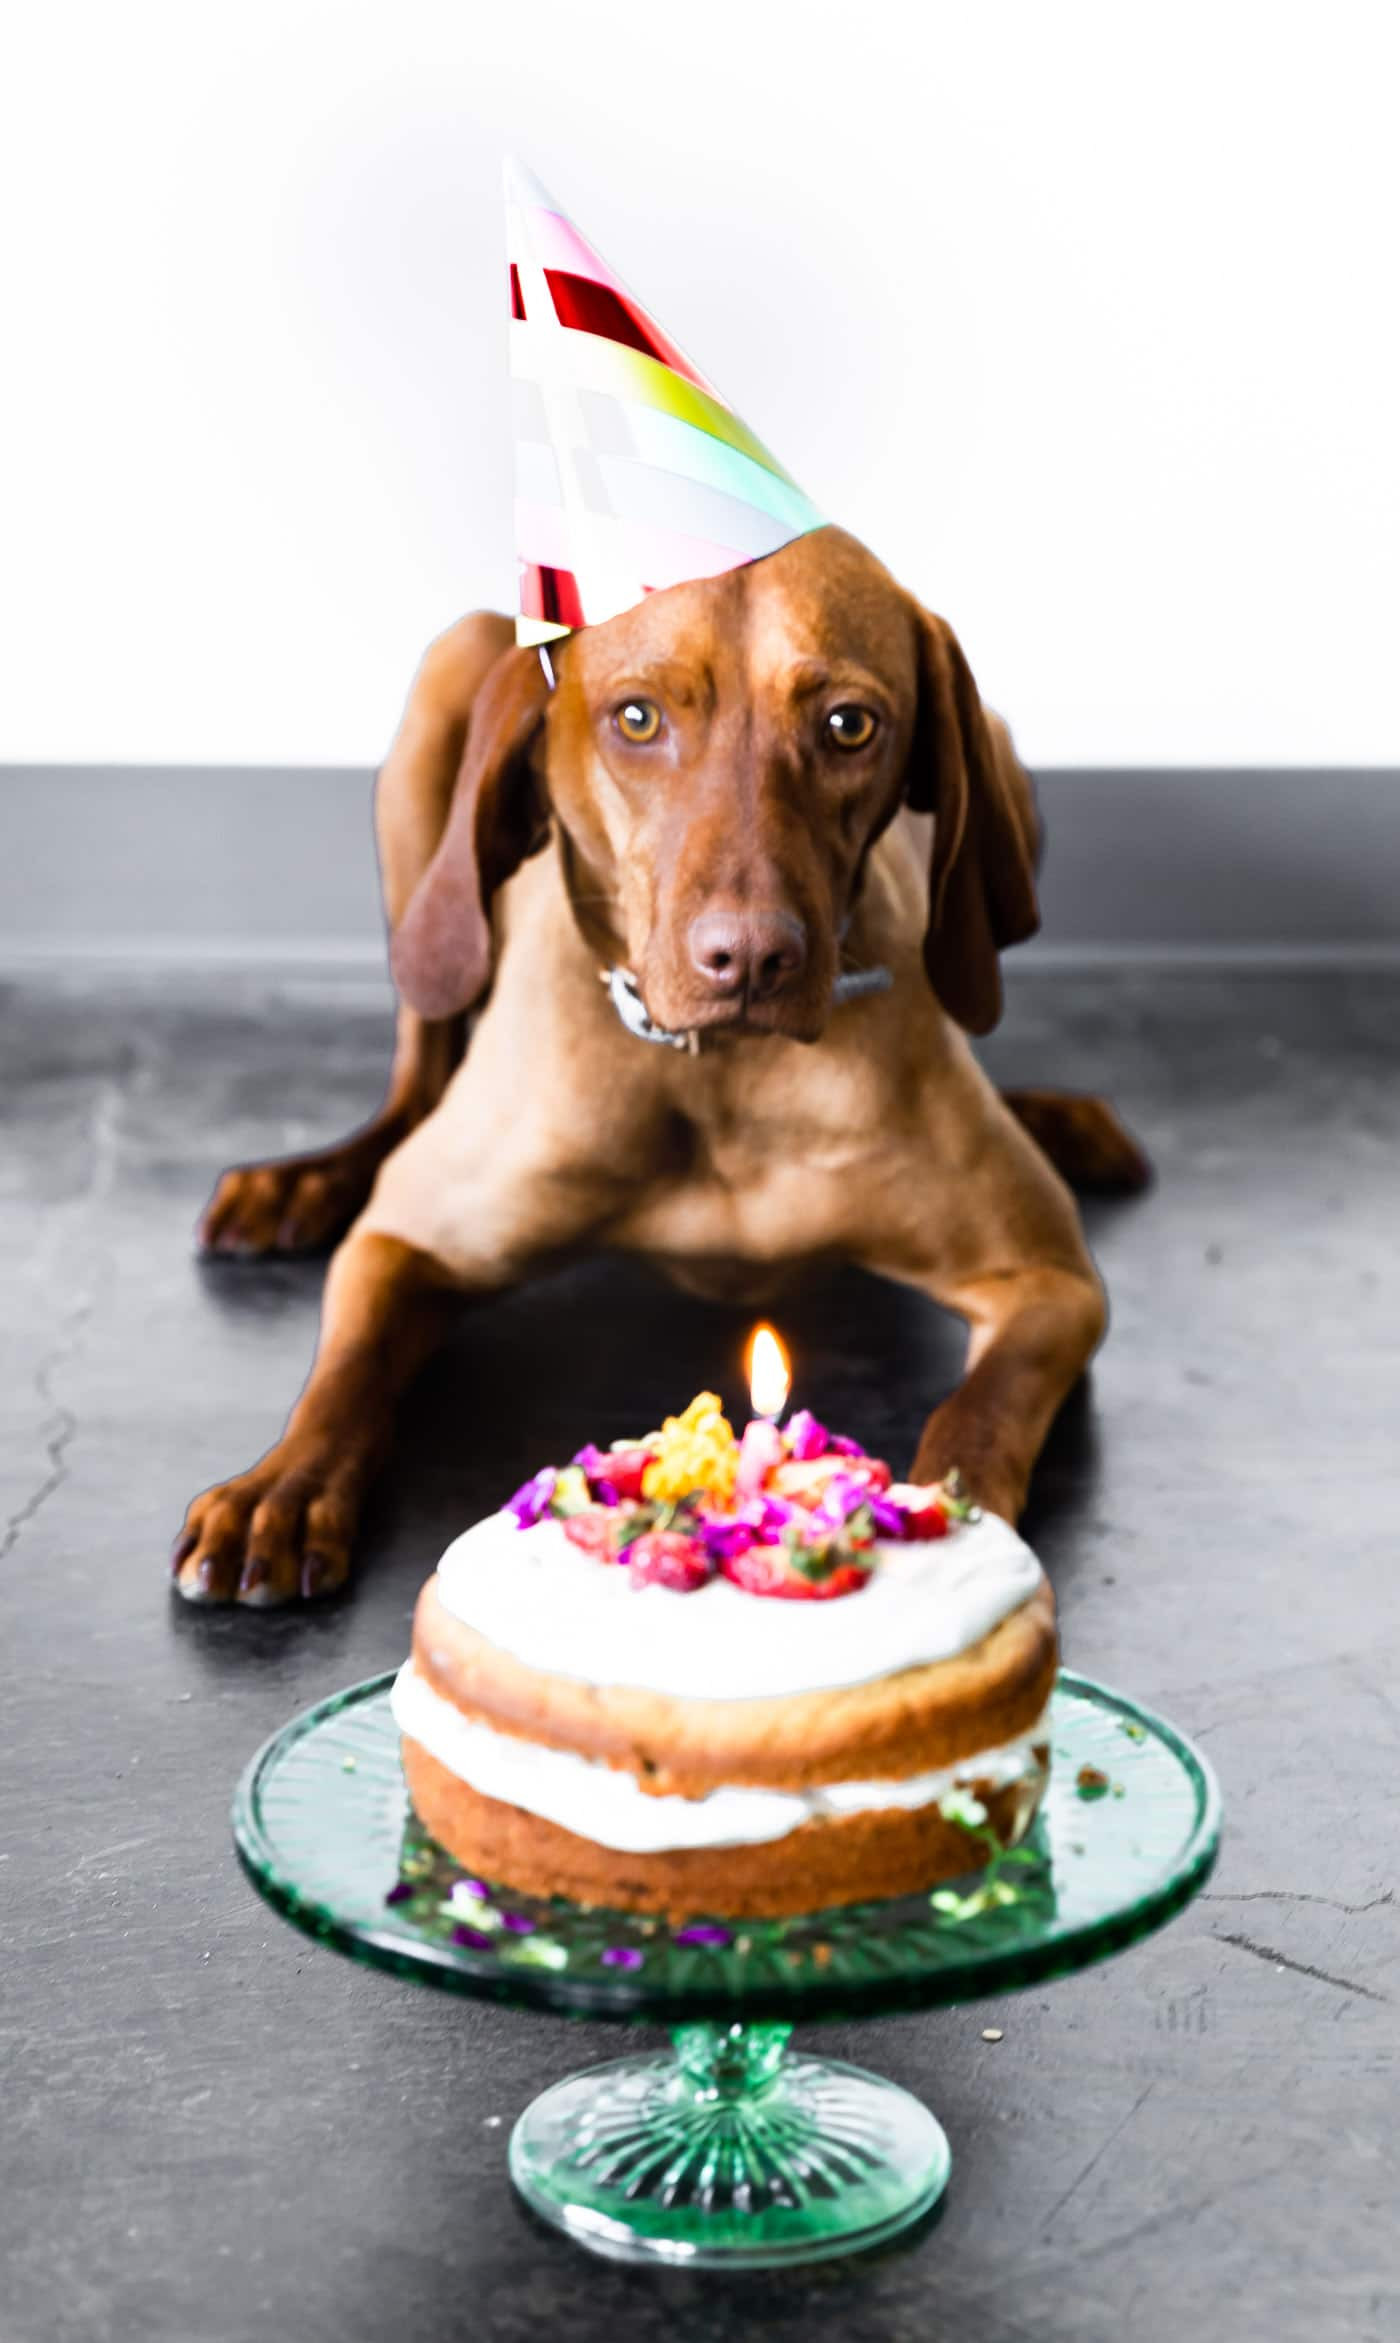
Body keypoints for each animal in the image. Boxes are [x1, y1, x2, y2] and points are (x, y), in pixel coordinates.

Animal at [175, 522, 1147, 1602]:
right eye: (636, 717)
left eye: (850, 724)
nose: (750, 959)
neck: (715, 1071)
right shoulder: (404, 1239)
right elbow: (343, 1376)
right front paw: (282, 1486)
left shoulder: (1047, 1277)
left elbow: (977, 1414)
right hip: (441, 711)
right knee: (416, 1074)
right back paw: (303, 1182)